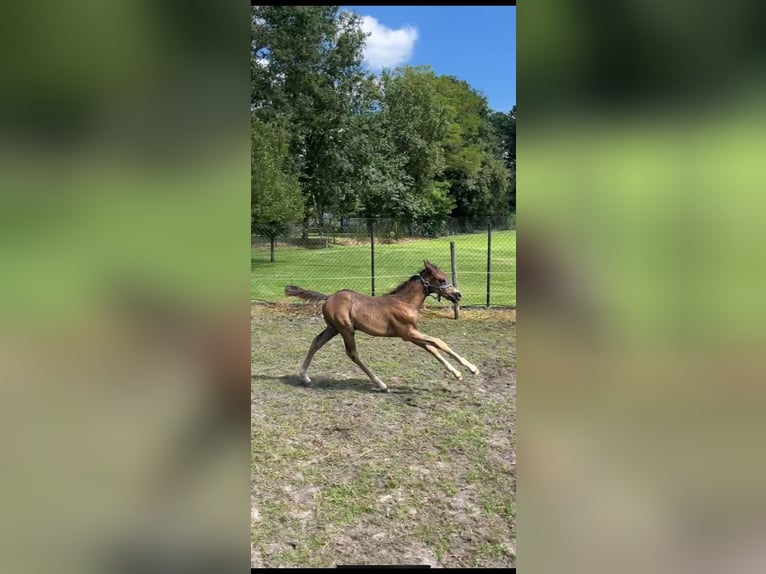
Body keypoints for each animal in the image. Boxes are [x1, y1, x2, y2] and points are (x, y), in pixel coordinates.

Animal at [284, 260, 476, 392]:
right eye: (441, 279)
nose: (458, 295)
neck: (405, 302)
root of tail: (329, 296)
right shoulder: (408, 333)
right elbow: (438, 342)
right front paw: (472, 369)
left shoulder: (411, 334)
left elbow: (432, 348)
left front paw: (457, 374)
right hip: (346, 329)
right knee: (352, 354)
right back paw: (381, 384)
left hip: (333, 328)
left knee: (316, 342)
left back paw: (305, 377)